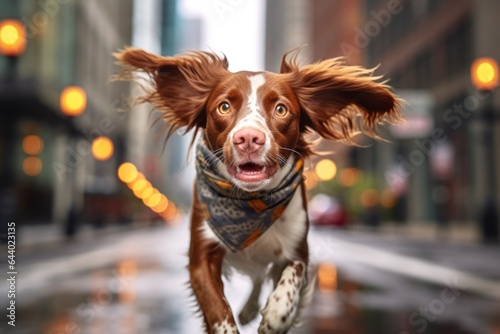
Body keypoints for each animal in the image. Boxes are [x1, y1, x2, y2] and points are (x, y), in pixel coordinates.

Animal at [114, 47, 402, 334]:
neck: (251, 202)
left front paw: (275, 315)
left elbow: (291, 280)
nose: (249, 138)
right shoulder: (201, 256)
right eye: (224, 106)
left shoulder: (298, 248)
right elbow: (219, 313)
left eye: (281, 109)